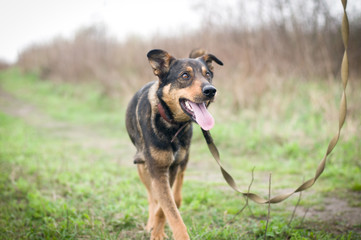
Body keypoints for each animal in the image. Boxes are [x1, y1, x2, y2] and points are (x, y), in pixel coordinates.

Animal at [125, 48, 221, 240]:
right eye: (185, 75)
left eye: (208, 75)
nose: (211, 90)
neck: (172, 124)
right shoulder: (157, 168)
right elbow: (167, 208)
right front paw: (157, 231)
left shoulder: (172, 167)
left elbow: (166, 208)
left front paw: (159, 230)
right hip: (142, 165)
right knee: (151, 196)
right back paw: (150, 222)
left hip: (183, 158)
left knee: (177, 188)